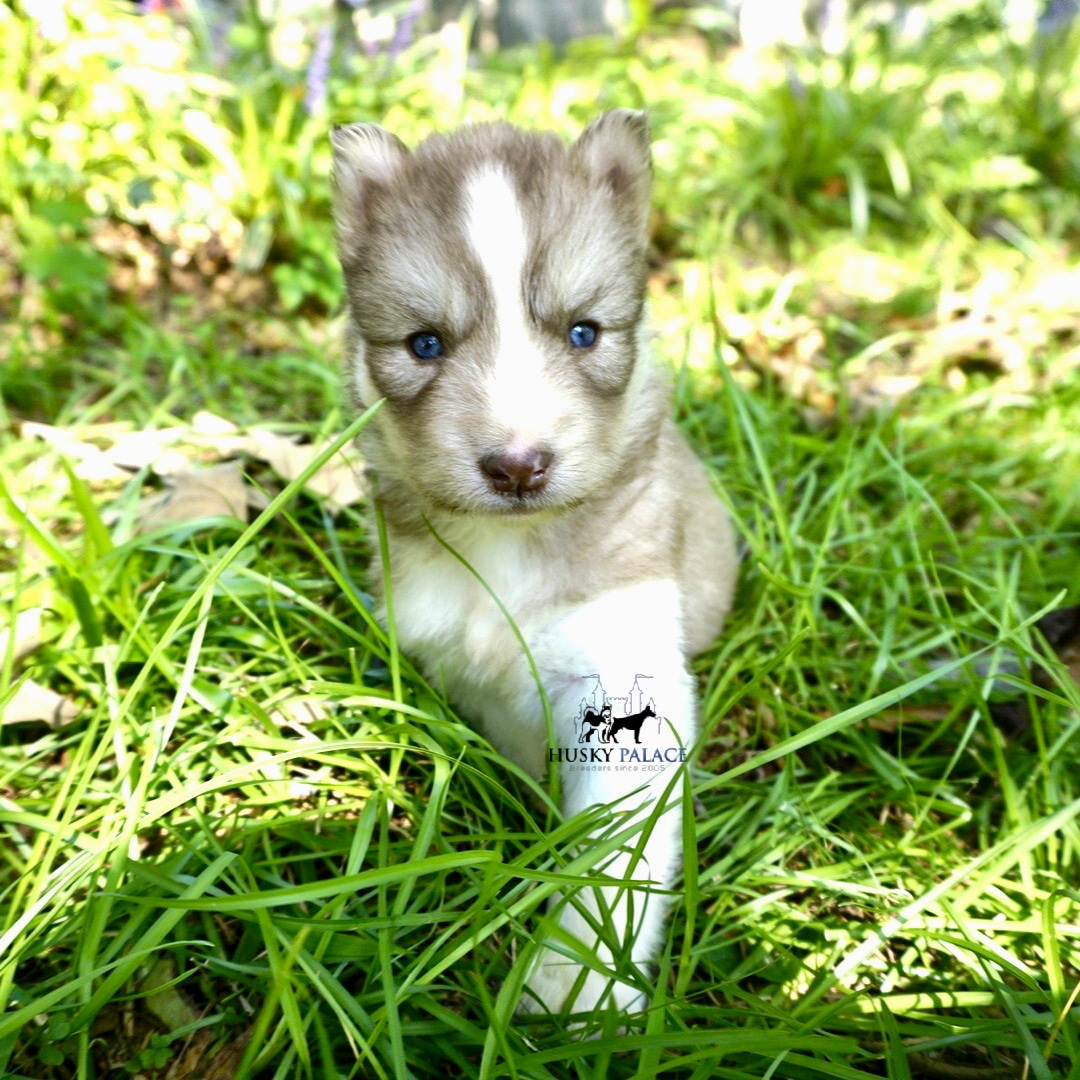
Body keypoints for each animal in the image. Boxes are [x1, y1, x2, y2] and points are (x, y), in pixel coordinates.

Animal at [326, 113, 734, 1015]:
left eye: (583, 331)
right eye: (425, 344)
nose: (516, 466)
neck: (507, 553)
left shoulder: (623, 667)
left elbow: (612, 860)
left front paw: (575, 987)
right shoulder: (447, 658)